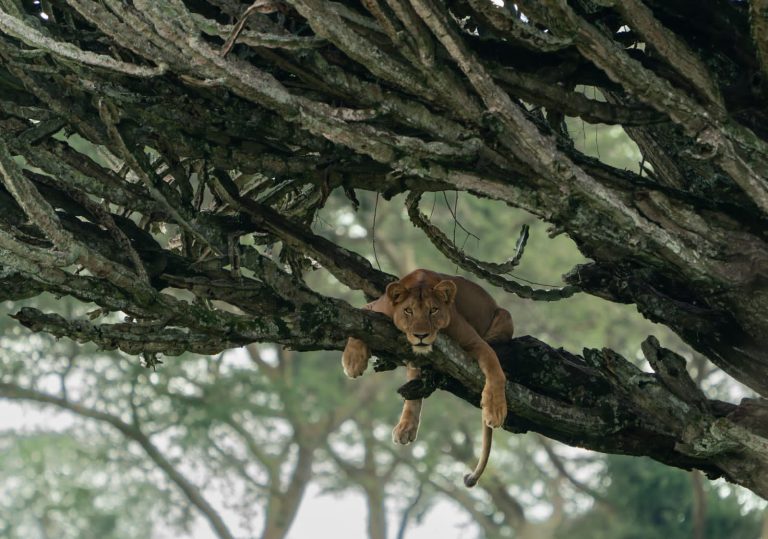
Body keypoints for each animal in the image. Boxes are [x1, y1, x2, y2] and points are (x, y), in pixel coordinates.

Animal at [342, 269, 513, 487]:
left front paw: (496, 410)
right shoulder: (377, 308)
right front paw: (353, 361)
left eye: (433, 310)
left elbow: (495, 371)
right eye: (408, 311)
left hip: (505, 316)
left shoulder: (475, 341)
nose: (421, 335)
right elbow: (359, 317)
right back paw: (406, 427)